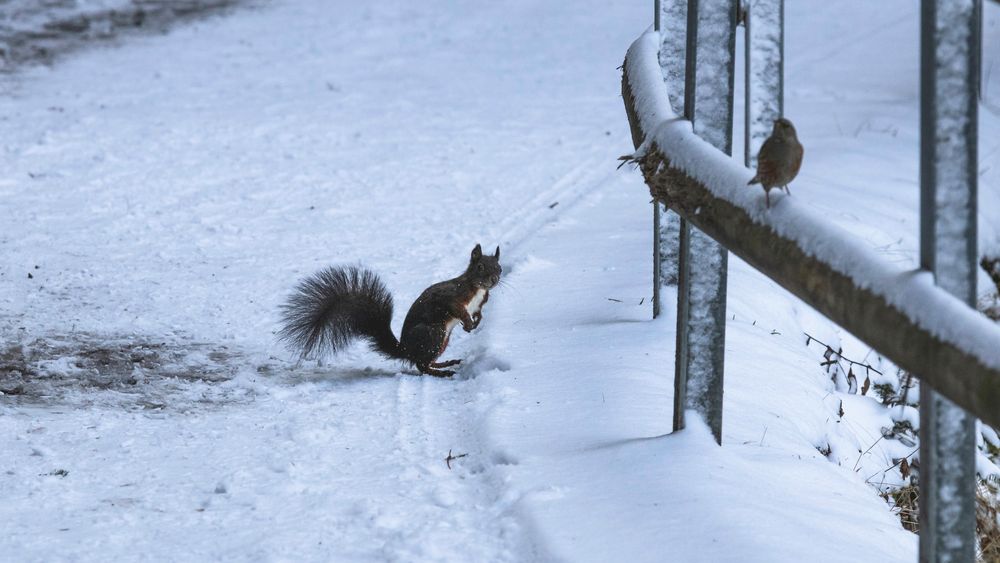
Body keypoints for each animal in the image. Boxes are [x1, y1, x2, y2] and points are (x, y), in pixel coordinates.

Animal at [278, 245, 500, 376]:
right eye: (480, 266)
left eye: (498, 267)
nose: (495, 279)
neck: (477, 288)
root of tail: (405, 349)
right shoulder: (450, 297)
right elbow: (456, 309)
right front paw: (468, 323)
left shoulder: (480, 304)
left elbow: (479, 313)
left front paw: (475, 323)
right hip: (433, 332)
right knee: (420, 365)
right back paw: (441, 372)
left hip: (441, 340)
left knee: (423, 362)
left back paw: (444, 363)